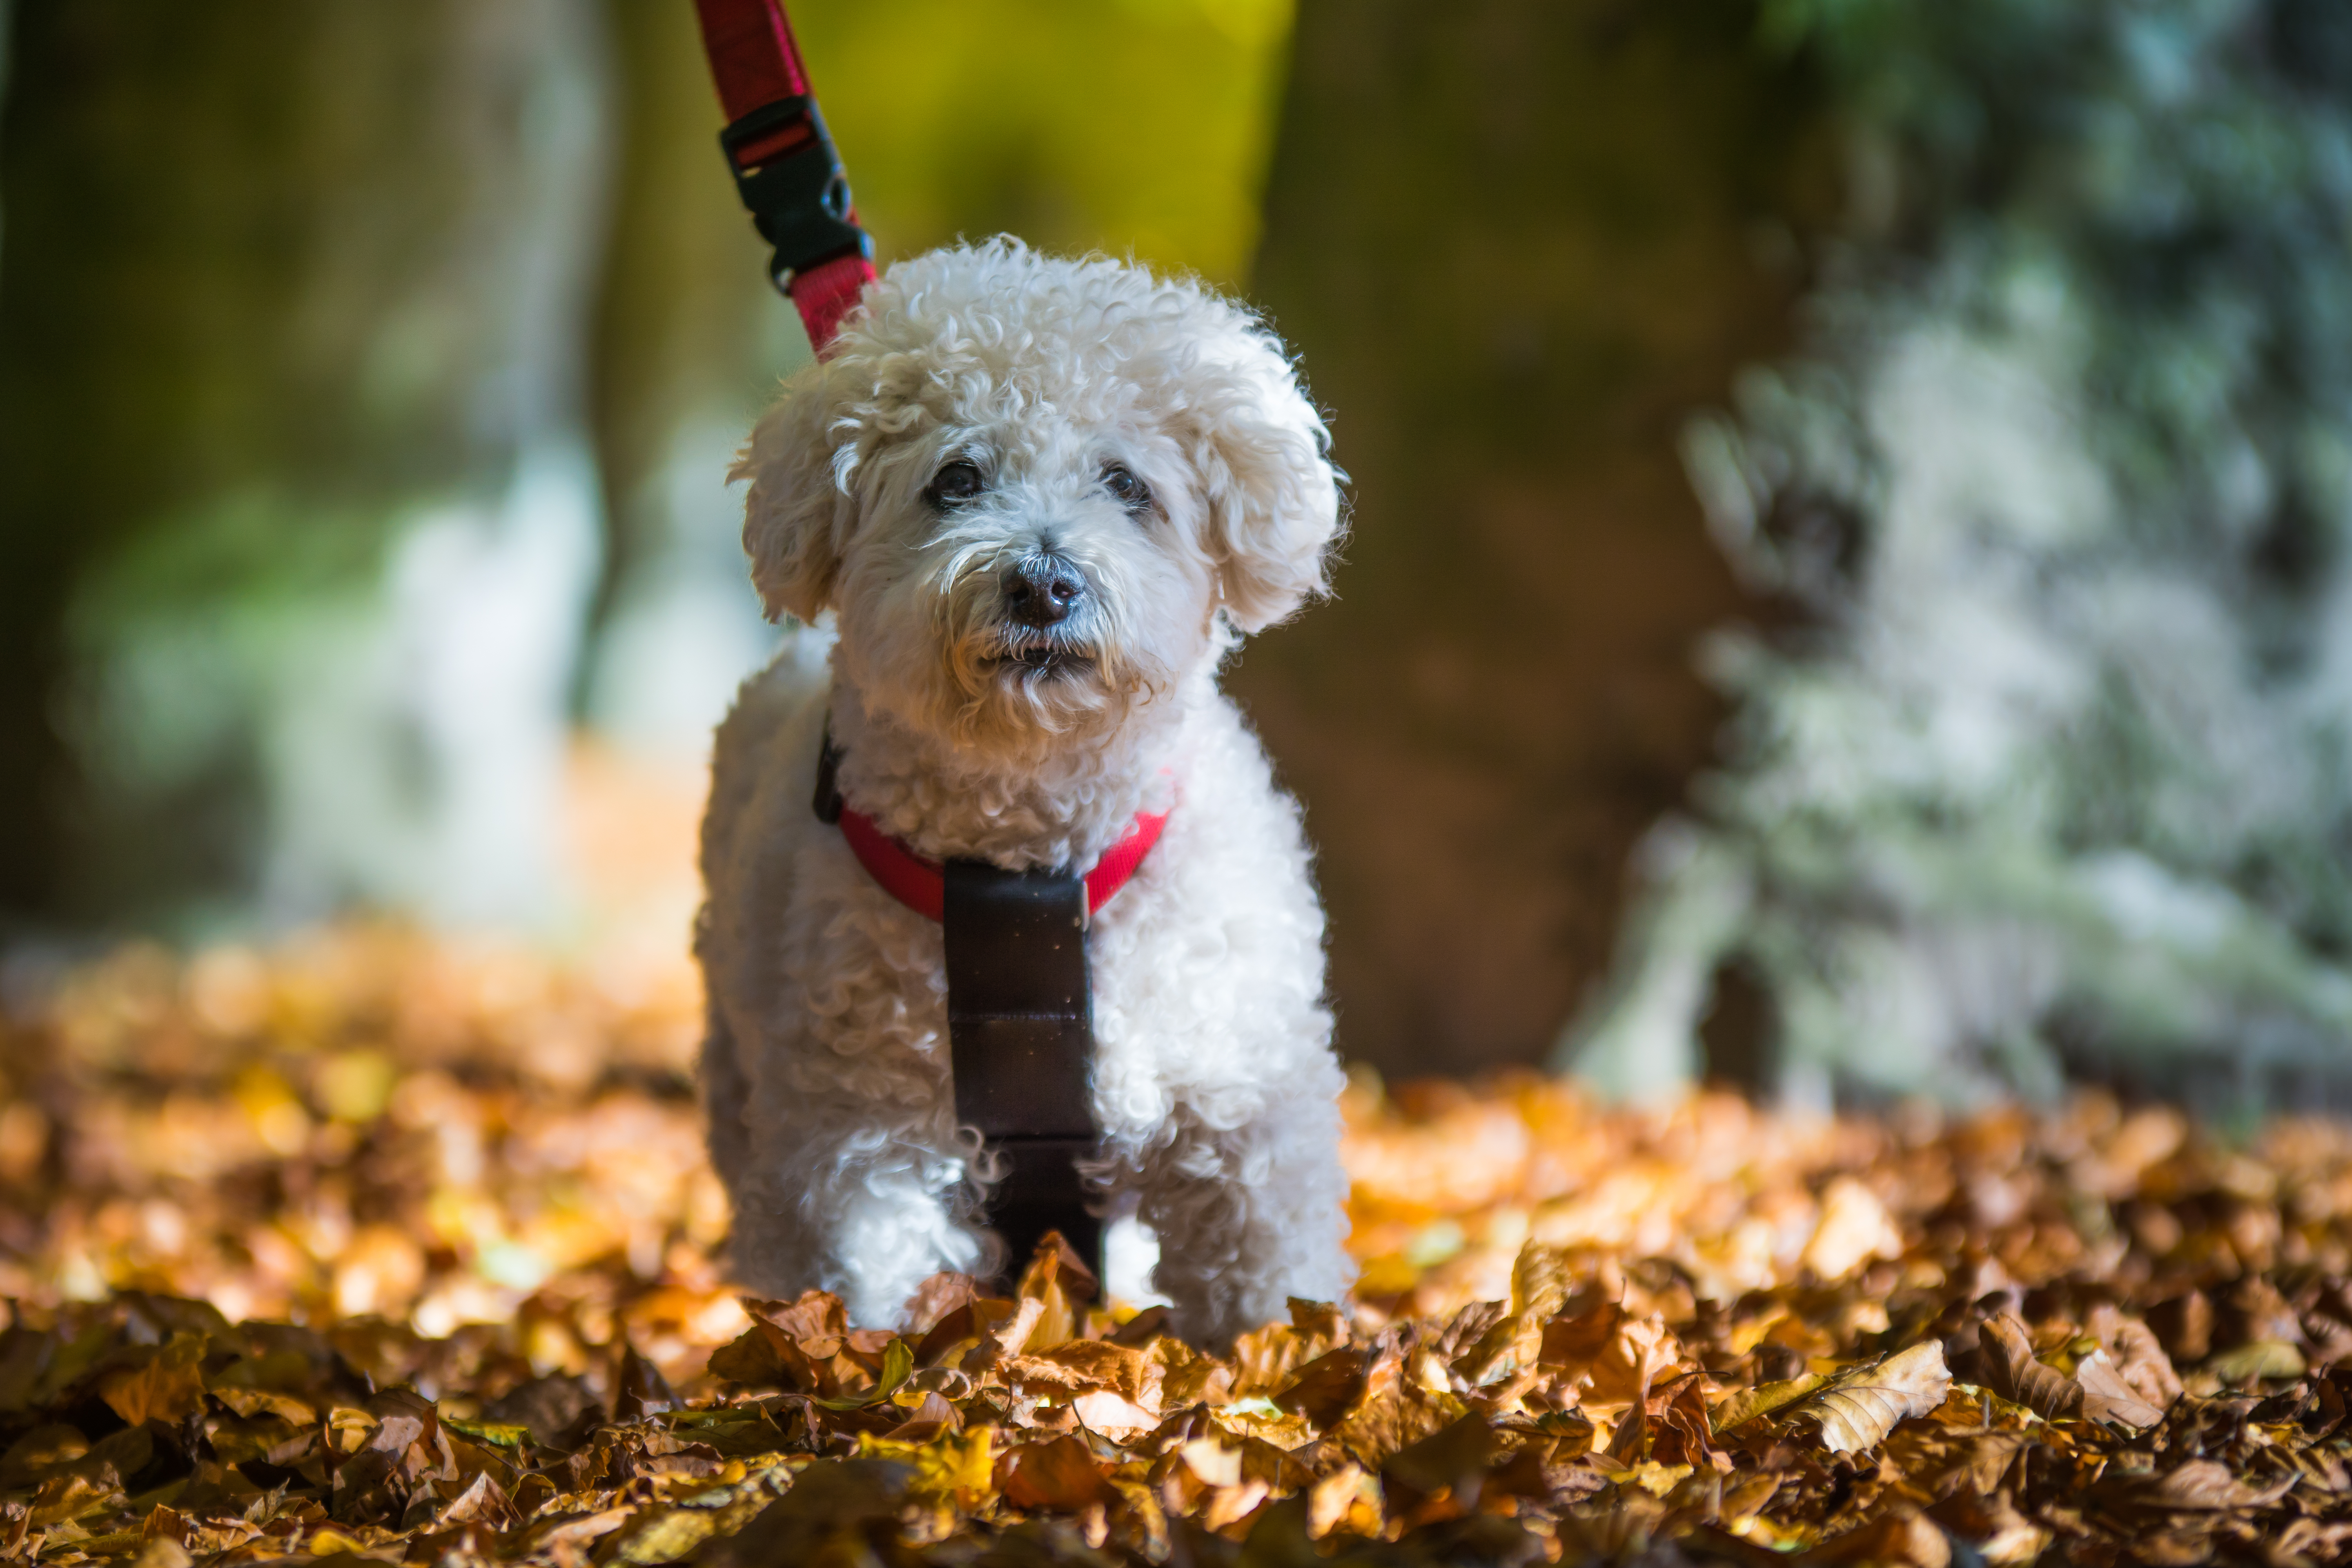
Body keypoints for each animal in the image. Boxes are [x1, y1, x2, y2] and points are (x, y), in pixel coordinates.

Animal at [696, 240, 1355, 1345]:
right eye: (956, 479)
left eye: (1126, 484)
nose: (1043, 584)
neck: (1029, 864)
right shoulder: (852, 1140)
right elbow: (852, 1283)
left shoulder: (1241, 1108)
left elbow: (1266, 1286)